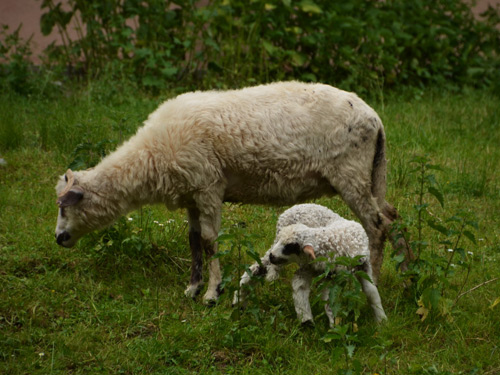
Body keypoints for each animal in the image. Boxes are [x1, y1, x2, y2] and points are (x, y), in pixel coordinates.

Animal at [54, 81, 410, 306]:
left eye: (64, 207)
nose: (59, 238)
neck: (150, 157)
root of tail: (374, 118)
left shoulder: (208, 187)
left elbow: (211, 241)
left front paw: (212, 293)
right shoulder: (191, 194)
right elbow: (194, 242)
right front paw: (193, 287)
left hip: (350, 173)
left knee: (377, 225)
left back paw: (375, 279)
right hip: (369, 174)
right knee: (393, 218)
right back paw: (407, 272)